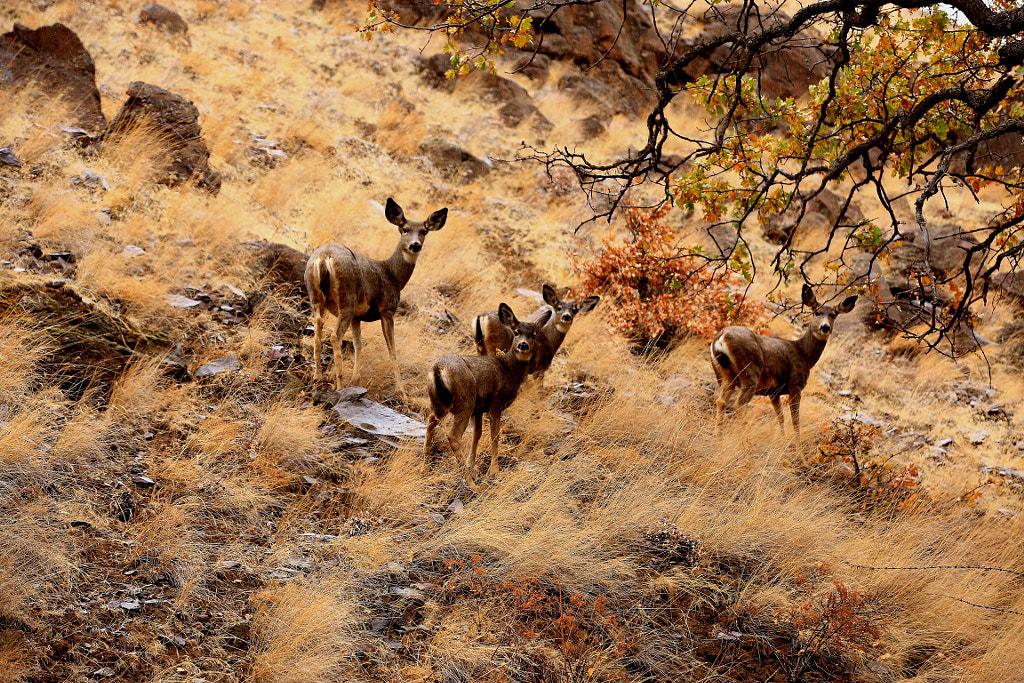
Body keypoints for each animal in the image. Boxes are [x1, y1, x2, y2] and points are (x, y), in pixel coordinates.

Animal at [303, 196, 448, 389]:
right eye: (405, 229)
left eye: (424, 231)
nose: (415, 245)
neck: (393, 276)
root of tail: (324, 257)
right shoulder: (387, 309)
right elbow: (392, 349)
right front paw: (401, 389)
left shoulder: (357, 317)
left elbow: (358, 345)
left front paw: (356, 379)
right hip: (347, 298)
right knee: (335, 336)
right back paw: (339, 385)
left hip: (315, 296)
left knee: (318, 327)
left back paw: (318, 376)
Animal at [423, 305, 552, 481]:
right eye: (516, 332)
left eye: (533, 334)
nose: (523, 345)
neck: (509, 369)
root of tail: (439, 369)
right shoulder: (496, 401)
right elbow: (495, 434)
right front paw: (494, 470)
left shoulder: (479, 409)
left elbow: (477, 434)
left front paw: (471, 464)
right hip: (465, 401)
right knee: (453, 437)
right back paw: (470, 482)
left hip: (438, 402)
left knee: (430, 423)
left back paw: (425, 468)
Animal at [712, 284, 856, 436]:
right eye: (817, 312)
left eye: (833, 315)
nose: (825, 327)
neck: (804, 354)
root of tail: (721, 337)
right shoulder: (795, 384)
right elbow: (795, 420)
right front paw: (797, 442)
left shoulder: (774, 391)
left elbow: (780, 417)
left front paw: (782, 437)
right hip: (750, 372)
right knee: (738, 405)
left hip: (724, 374)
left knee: (721, 401)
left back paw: (718, 435)